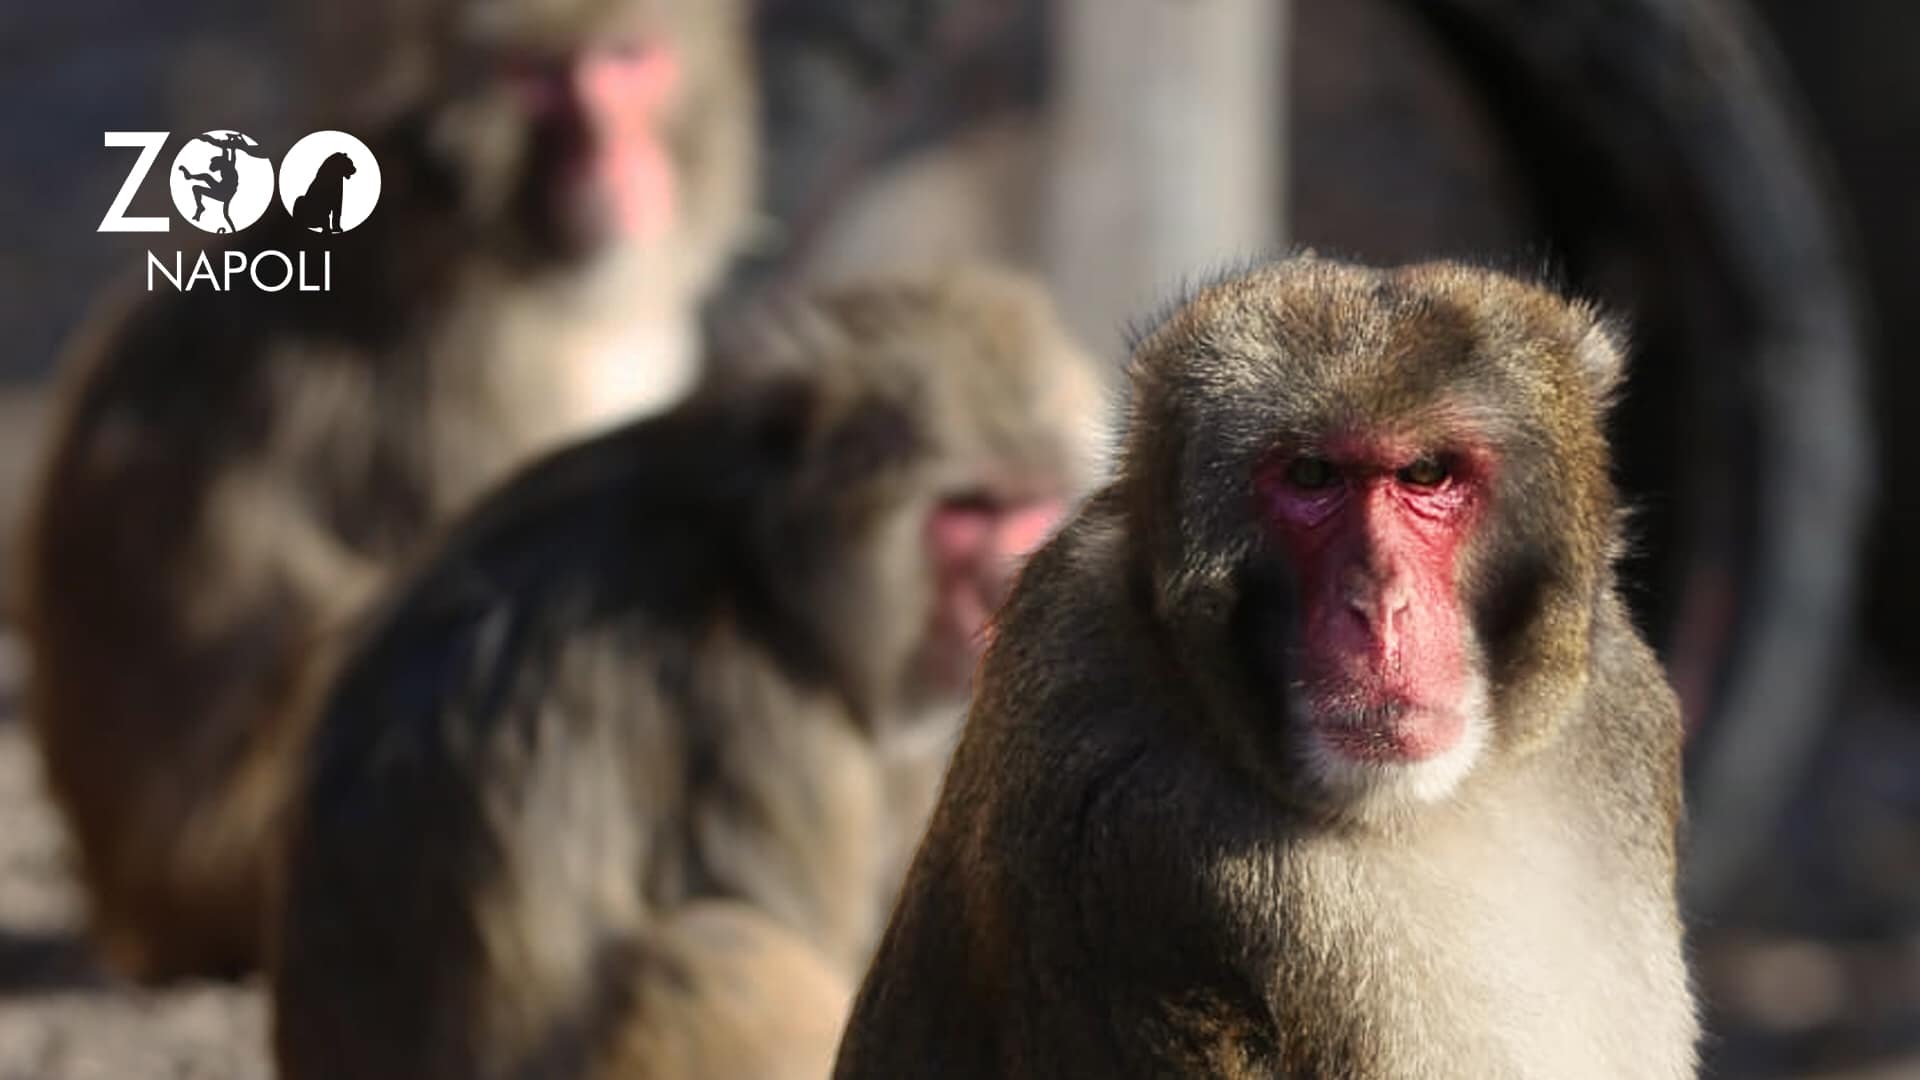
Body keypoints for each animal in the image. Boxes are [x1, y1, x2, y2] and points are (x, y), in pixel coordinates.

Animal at [270, 267, 1113, 1076]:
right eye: (969, 512)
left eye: (1032, 504)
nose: (1005, 584)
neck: (758, 563)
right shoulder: (754, 712)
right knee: (721, 955)